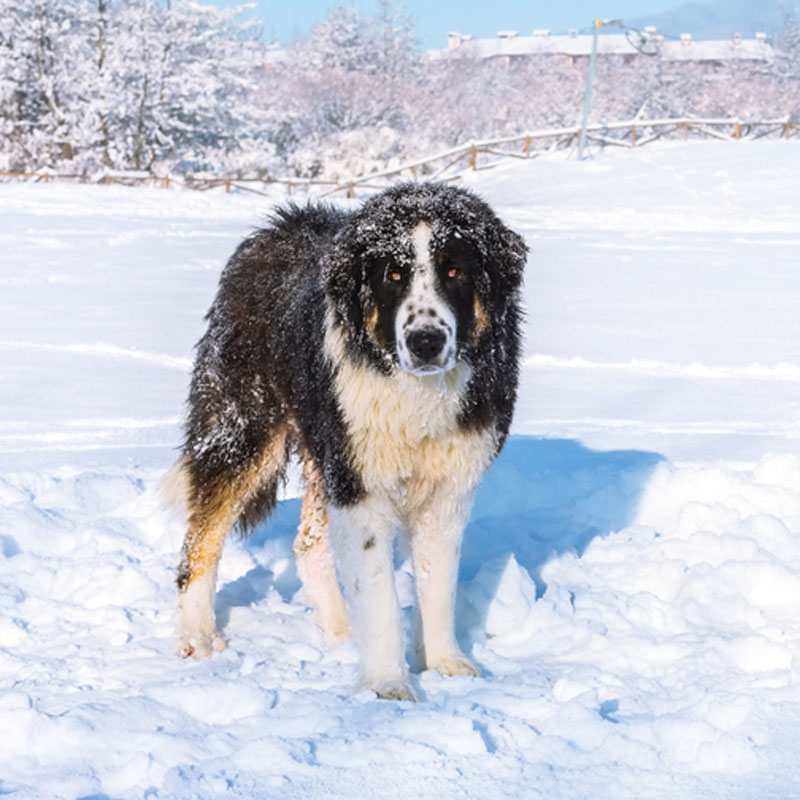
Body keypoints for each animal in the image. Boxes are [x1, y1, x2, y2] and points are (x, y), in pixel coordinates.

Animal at [172, 181, 528, 700]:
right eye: (394, 273)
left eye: (454, 270)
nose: (425, 341)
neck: (413, 392)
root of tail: (275, 228)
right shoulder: (361, 486)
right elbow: (378, 590)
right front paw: (387, 683)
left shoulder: (447, 485)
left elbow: (437, 581)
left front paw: (446, 664)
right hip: (246, 429)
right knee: (201, 540)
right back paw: (197, 634)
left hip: (325, 452)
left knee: (308, 545)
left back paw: (341, 631)